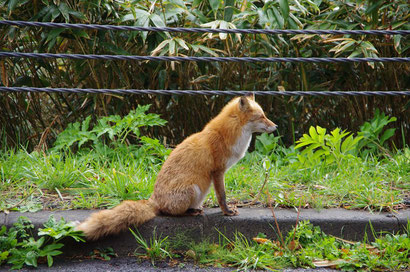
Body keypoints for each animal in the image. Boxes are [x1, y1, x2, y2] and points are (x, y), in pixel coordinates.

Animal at [75, 94, 278, 240]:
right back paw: (191, 212)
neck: (227, 134)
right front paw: (227, 212)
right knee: (170, 213)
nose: (275, 127)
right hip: (193, 189)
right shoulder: (218, 171)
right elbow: (222, 196)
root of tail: (154, 200)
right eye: (261, 117)